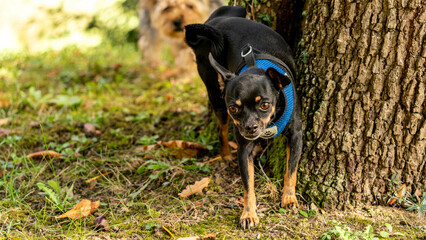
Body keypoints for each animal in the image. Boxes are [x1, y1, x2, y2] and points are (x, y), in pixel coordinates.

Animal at [185, 6, 302, 230]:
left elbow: (290, 170)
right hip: (215, 95)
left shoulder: (296, 136)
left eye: (264, 104)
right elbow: (249, 186)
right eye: (234, 108)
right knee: (221, 128)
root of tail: (214, 24)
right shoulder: (244, 148)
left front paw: (289, 198)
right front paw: (248, 214)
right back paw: (225, 155)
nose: (250, 127)